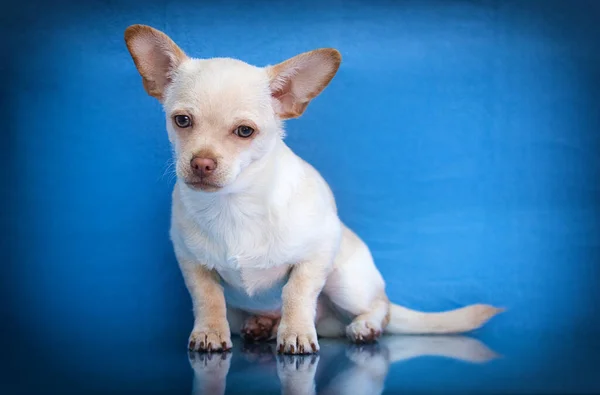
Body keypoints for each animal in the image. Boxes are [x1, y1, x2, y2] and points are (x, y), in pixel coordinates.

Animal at [122, 25, 502, 358]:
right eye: (182, 121)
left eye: (245, 131)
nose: (201, 163)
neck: (234, 203)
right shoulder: (192, 263)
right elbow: (208, 298)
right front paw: (210, 332)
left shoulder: (315, 256)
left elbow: (296, 293)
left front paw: (296, 334)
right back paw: (262, 325)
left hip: (345, 281)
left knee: (382, 307)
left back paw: (363, 326)